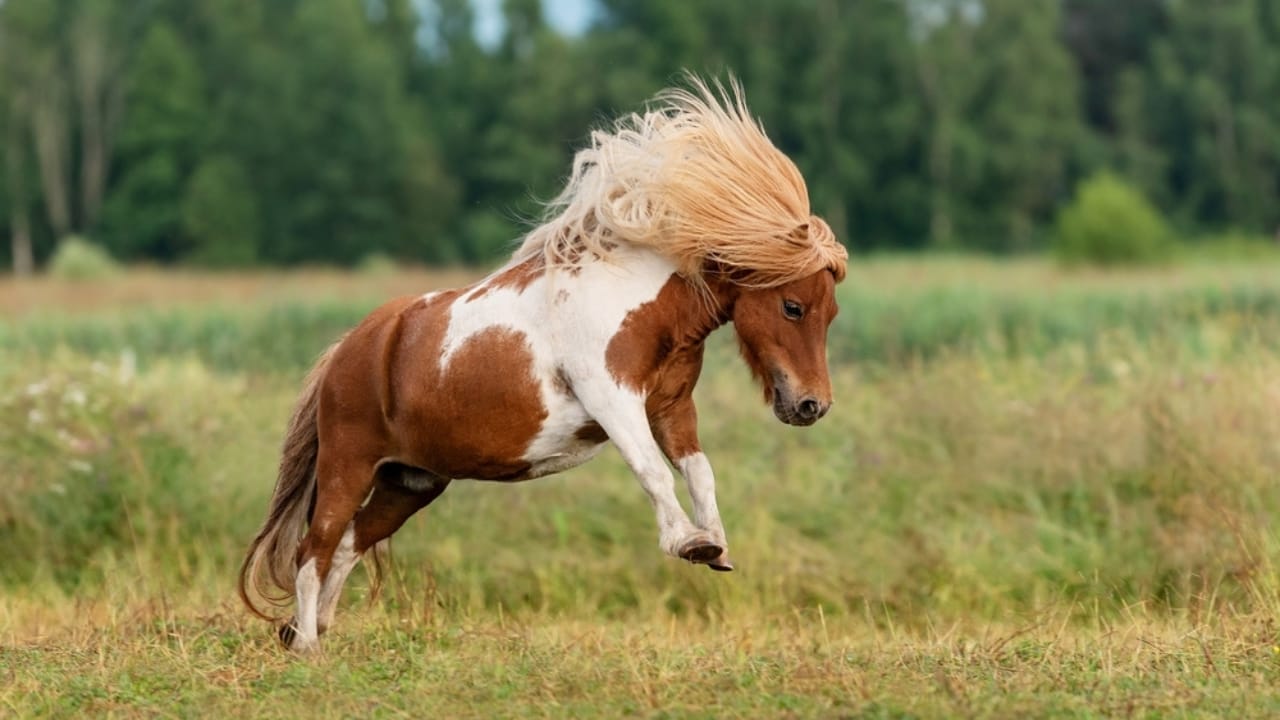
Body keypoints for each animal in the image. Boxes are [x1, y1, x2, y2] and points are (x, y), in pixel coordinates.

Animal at [237, 76, 849, 653]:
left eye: (832, 311)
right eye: (793, 306)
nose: (811, 405)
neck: (635, 302)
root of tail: (350, 349)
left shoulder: (671, 407)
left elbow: (699, 472)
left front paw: (716, 544)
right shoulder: (612, 398)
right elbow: (652, 470)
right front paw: (690, 543)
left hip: (409, 481)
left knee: (346, 545)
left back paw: (313, 631)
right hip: (348, 464)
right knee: (313, 549)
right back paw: (308, 645)